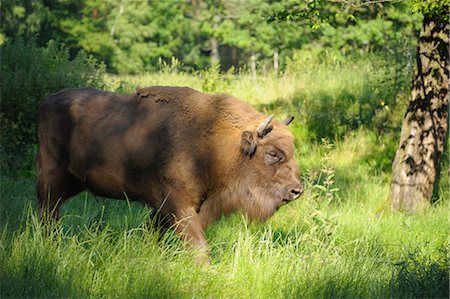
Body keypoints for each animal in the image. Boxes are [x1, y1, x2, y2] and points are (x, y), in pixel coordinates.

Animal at [37, 85, 304, 264]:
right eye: (273, 153)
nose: (297, 190)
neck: (216, 142)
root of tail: (48, 102)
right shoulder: (179, 204)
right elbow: (197, 243)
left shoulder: (176, 206)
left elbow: (153, 232)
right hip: (51, 178)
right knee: (47, 210)